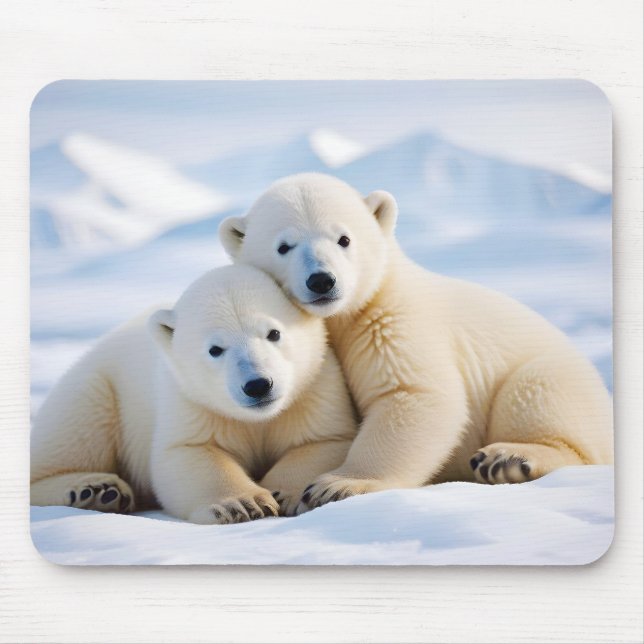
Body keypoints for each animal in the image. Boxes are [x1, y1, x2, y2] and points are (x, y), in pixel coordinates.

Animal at [30, 264, 357, 523]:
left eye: (274, 333)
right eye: (215, 349)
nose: (258, 385)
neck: (259, 418)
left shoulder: (313, 387)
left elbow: (323, 440)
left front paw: (284, 492)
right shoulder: (190, 399)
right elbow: (190, 451)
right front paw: (243, 503)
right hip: (97, 386)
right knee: (74, 432)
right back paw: (95, 489)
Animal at [219, 172, 613, 510]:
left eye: (344, 239)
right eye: (284, 246)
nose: (321, 280)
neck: (342, 317)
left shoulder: (392, 322)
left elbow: (412, 394)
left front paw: (339, 484)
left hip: (560, 381)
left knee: (537, 392)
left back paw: (508, 458)